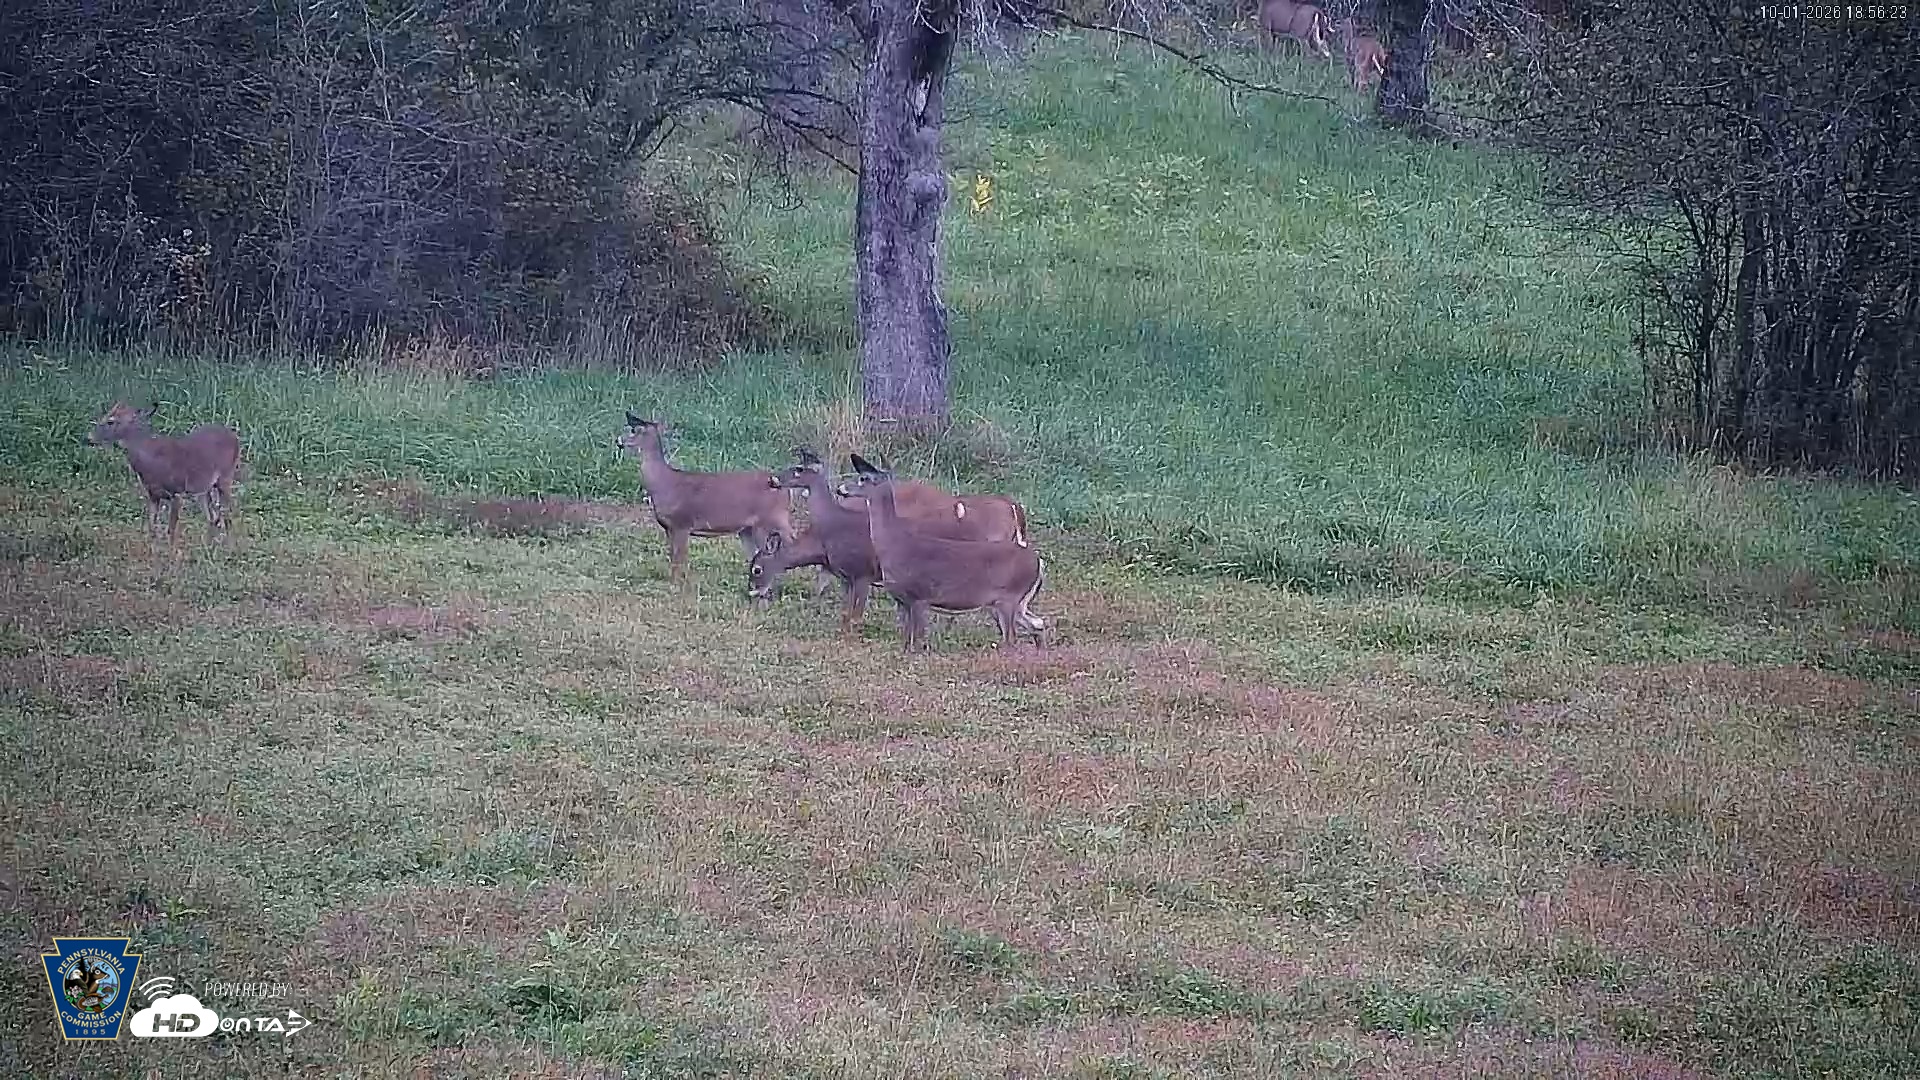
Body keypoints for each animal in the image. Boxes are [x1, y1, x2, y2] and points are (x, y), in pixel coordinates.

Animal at [86, 401, 241, 546]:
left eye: (110, 421)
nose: (89, 438)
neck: (152, 462)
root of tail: (234, 436)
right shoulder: (153, 495)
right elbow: (152, 528)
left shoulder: (177, 492)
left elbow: (170, 530)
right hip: (203, 488)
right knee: (212, 516)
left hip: (226, 476)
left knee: (227, 512)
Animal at [615, 413, 795, 589]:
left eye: (635, 430)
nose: (618, 441)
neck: (665, 484)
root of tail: (784, 488)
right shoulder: (669, 527)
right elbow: (673, 557)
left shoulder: (682, 523)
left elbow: (679, 558)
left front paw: (678, 585)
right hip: (748, 529)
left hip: (771, 520)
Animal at [838, 454, 1048, 652]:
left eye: (863, 478)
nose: (841, 488)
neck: (894, 544)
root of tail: (1038, 563)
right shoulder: (904, 601)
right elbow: (907, 641)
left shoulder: (919, 596)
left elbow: (917, 641)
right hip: (1015, 603)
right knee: (1037, 624)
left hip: (1008, 598)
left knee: (1012, 638)